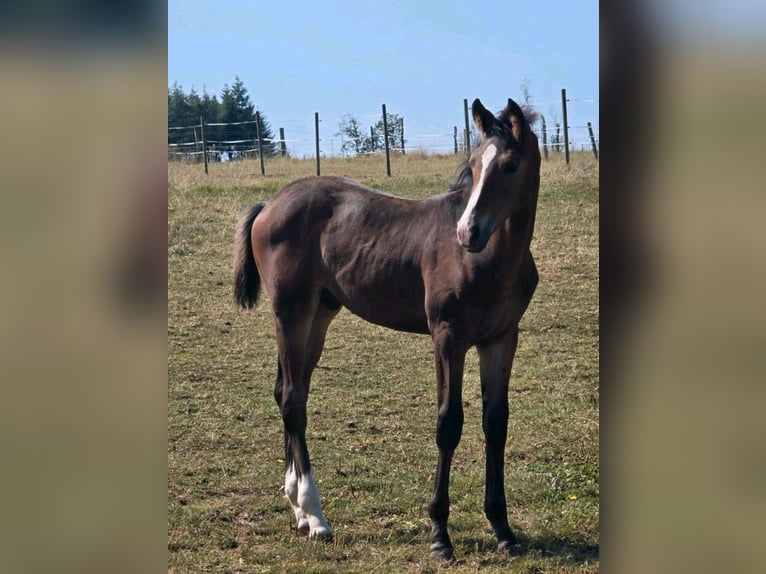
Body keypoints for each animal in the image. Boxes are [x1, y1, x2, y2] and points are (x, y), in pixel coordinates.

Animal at [234, 99, 540, 564]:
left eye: (509, 165)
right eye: (472, 164)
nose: (467, 232)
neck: (491, 260)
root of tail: (271, 203)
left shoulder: (501, 339)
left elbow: (496, 422)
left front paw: (503, 530)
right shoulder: (447, 337)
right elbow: (449, 423)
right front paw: (440, 536)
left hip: (320, 314)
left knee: (289, 390)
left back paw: (299, 510)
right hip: (290, 312)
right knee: (291, 401)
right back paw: (315, 515)